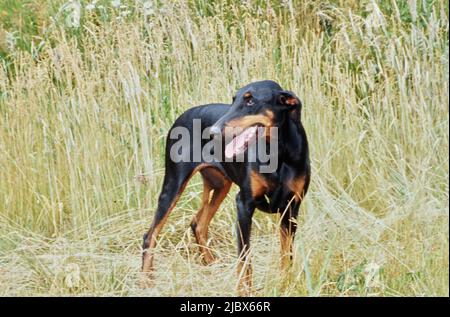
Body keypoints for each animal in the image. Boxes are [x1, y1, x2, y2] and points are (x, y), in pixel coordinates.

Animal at [142, 79, 312, 294]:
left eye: (250, 101)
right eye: (234, 99)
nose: (212, 132)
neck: (278, 153)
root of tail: (182, 116)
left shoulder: (291, 208)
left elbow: (286, 255)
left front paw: (285, 285)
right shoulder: (244, 204)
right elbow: (245, 257)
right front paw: (244, 291)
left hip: (220, 185)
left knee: (198, 224)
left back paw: (211, 264)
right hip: (174, 184)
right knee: (150, 235)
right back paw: (146, 282)